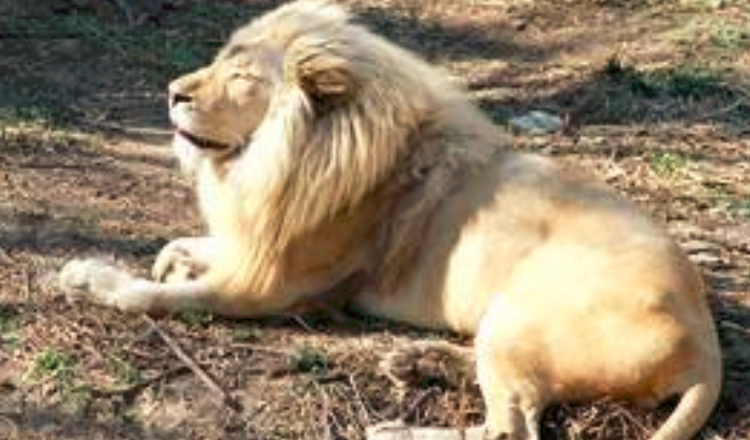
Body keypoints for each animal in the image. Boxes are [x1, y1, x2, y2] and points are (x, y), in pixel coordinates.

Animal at [61, 1, 724, 438]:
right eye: (221, 61)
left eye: (243, 78)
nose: (172, 91)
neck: (277, 160)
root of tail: (704, 337)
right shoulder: (256, 241)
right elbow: (184, 244)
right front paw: (172, 260)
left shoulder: (269, 288)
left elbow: (151, 297)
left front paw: (92, 278)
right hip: (501, 328)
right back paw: (417, 362)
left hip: (519, 313)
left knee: (508, 430)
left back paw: (395, 426)